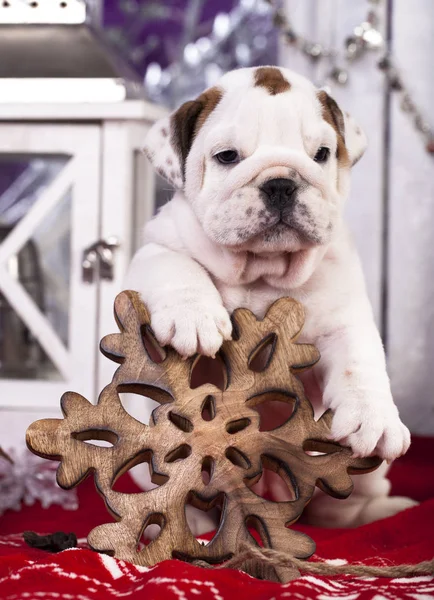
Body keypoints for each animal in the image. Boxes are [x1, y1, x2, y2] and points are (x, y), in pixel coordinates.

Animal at [126, 67, 418, 528]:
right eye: (228, 156)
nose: (281, 183)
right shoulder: (157, 246)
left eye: (321, 154)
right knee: (184, 495)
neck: (263, 270)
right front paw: (195, 317)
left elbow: (359, 361)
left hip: (359, 476)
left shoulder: (345, 316)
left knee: (341, 504)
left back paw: (379, 513)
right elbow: (176, 267)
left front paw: (372, 415)